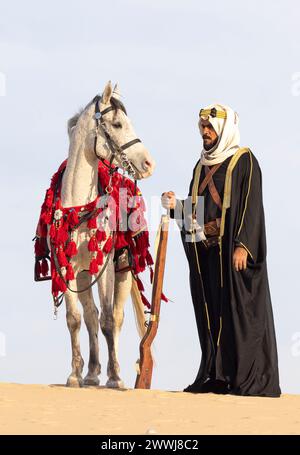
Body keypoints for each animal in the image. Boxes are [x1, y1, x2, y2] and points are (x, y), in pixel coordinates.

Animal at [54, 82, 156, 388]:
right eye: (118, 123)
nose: (148, 164)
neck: (79, 206)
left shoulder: (106, 268)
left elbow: (110, 320)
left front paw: (115, 377)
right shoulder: (67, 268)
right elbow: (74, 318)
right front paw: (75, 374)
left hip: (122, 271)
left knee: (116, 317)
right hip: (84, 275)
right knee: (90, 316)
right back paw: (91, 372)